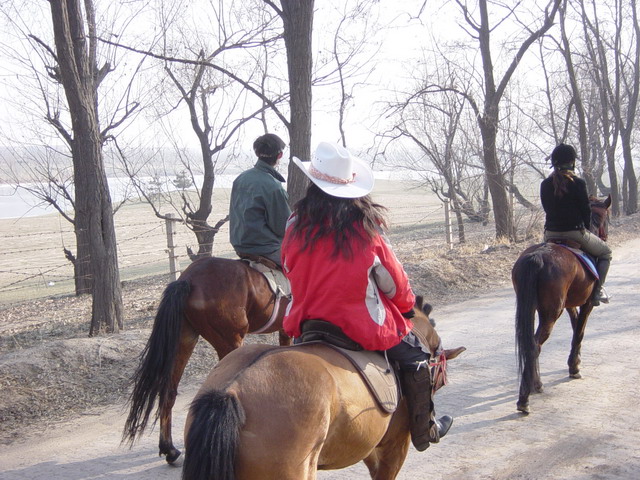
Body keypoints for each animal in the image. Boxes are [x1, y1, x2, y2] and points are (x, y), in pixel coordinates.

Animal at [512, 195, 612, 412]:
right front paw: (574, 367)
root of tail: (537, 256)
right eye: (606, 218)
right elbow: (580, 331)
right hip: (550, 314)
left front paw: (576, 360)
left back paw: (533, 387)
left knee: (531, 345)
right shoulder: (586, 304)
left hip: (531, 308)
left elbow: (576, 328)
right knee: (534, 346)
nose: (605, 236)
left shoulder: (570, 304)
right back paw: (526, 396)